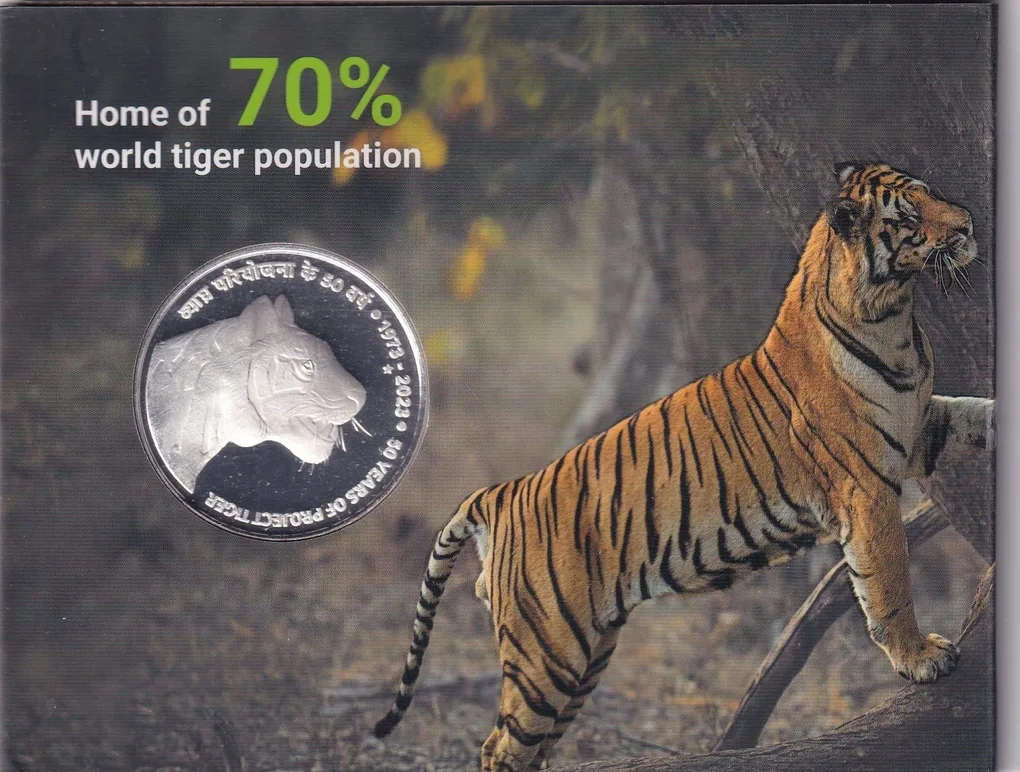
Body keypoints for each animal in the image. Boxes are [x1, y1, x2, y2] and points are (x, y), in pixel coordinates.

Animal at [373, 163, 995, 771]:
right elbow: (887, 583)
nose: (968, 224)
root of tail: (500, 493)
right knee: (500, 746)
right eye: (909, 216)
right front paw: (920, 658)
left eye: (932, 192)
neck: (895, 320)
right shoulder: (866, 486)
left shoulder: (920, 429)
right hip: (547, 654)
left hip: (585, 658)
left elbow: (977, 411)